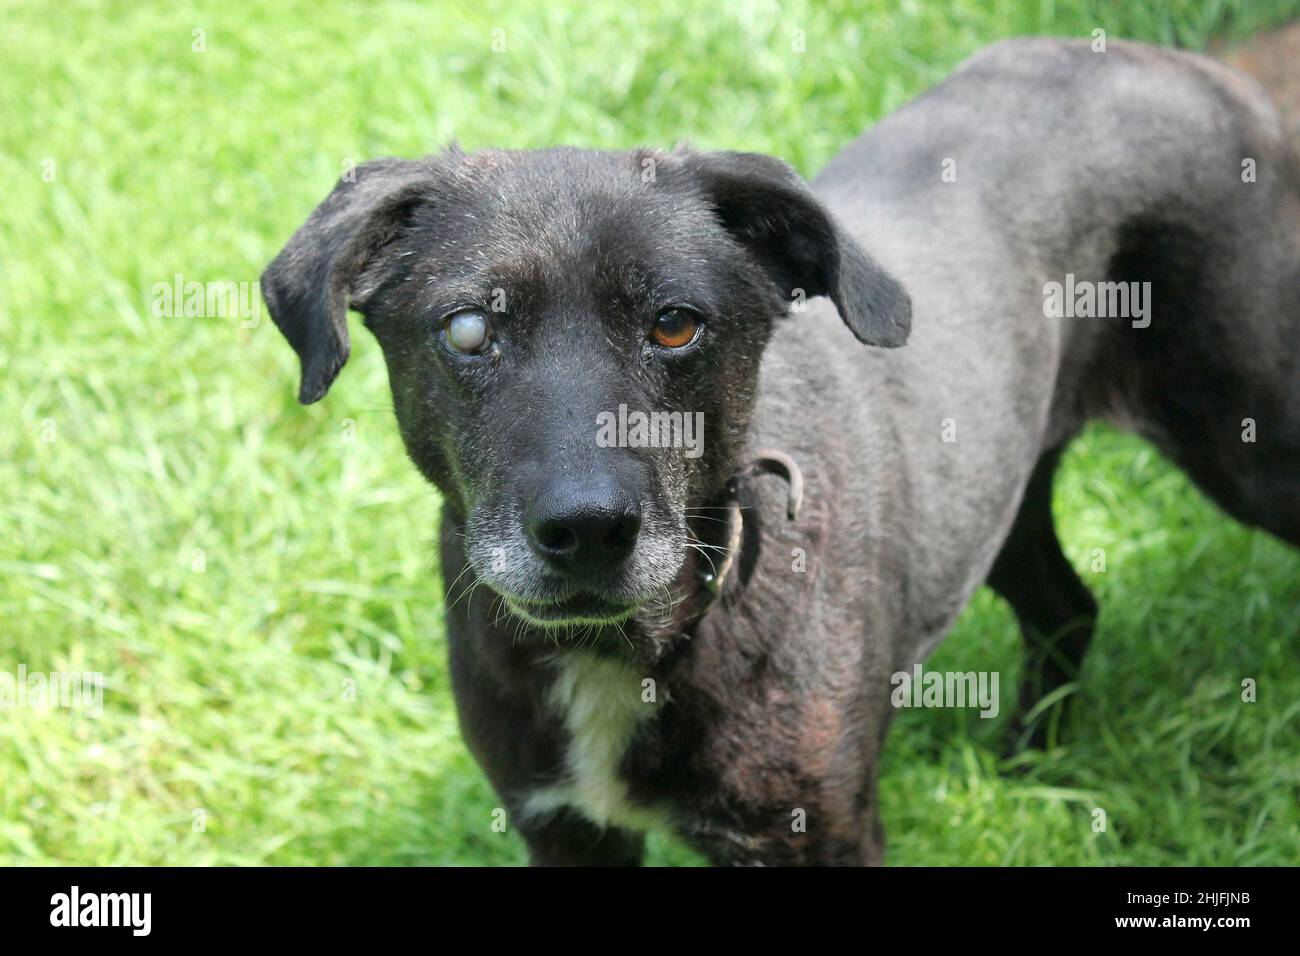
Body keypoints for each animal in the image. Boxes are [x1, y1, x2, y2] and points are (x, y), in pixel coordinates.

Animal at [261, 39, 1300, 868]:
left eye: (676, 323)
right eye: (469, 329)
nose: (588, 530)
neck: (631, 648)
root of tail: (1197, 65)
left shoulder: (820, 836)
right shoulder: (564, 830)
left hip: (1250, 446)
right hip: (994, 490)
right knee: (1068, 609)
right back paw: (1030, 766)